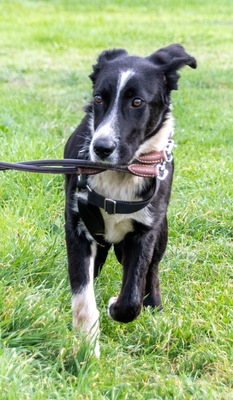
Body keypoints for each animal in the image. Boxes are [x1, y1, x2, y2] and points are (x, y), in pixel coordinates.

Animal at [64, 44, 197, 356]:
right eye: (99, 98)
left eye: (137, 102)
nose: (101, 148)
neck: (120, 174)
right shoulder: (76, 226)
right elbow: (83, 293)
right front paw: (86, 345)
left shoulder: (144, 232)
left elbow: (131, 298)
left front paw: (117, 306)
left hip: (161, 231)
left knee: (152, 272)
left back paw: (155, 306)